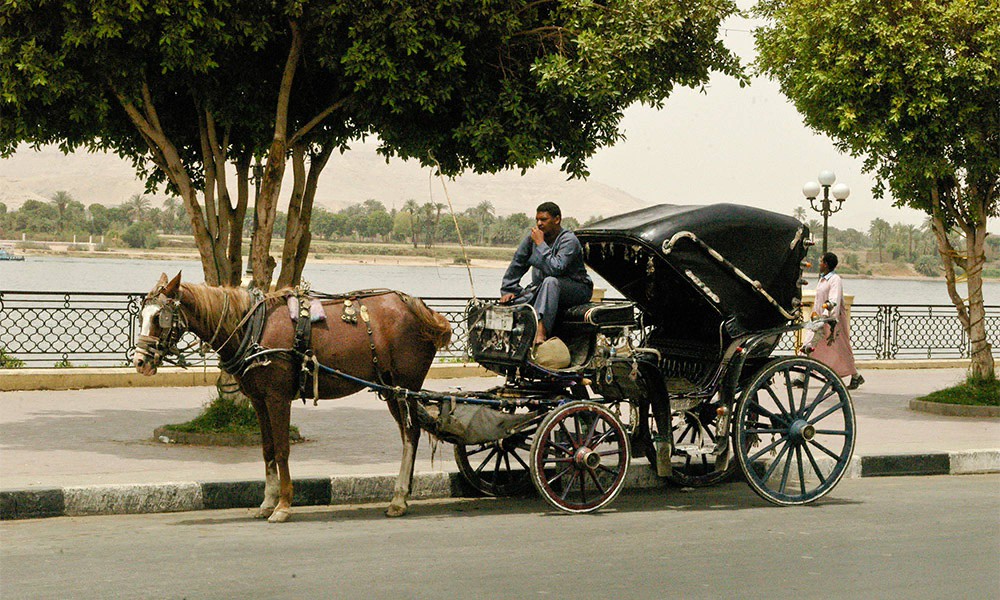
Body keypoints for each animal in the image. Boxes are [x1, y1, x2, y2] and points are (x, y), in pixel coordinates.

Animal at [134, 272, 454, 520]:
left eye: (160, 317)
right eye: (141, 316)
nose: (140, 362)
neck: (254, 327)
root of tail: (423, 311)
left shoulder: (277, 398)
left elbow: (282, 450)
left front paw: (284, 505)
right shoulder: (258, 400)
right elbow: (266, 449)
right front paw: (267, 501)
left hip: (405, 387)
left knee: (410, 436)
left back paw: (399, 499)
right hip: (391, 390)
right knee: (409, 434)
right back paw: (401, 496)